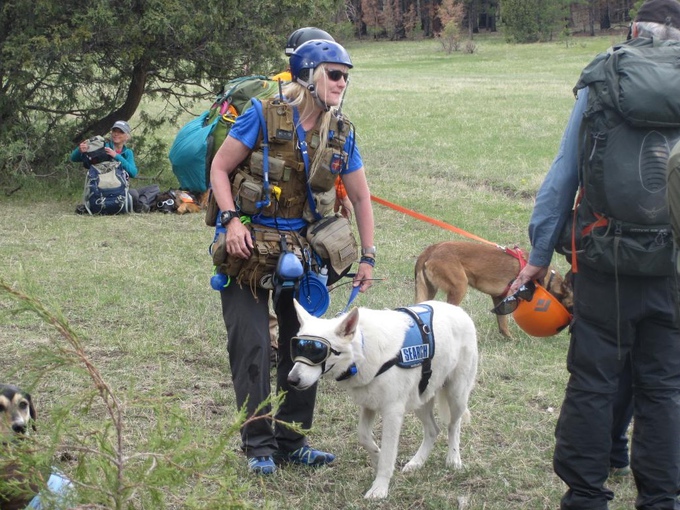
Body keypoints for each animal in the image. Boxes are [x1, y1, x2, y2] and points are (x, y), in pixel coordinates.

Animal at [286, 296, 478, 500]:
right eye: (297, 348)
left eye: (317, 350)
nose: (291, 380)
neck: (361, 350)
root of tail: (458, 310)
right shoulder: (368, 405)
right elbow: (363, 436)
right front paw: (376, 457)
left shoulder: (392, 413)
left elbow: (388, 454)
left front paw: (380, 488)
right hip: (420, 399)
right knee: (434, 430)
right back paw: (416, 462)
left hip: (456, 396)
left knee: (453, 425)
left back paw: (454, 459)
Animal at [414, 240, 572, 336]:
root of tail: (432, 249)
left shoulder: (499, 298)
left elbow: (502, 323)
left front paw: (509, 339)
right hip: (459, 287)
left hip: (429, 290)